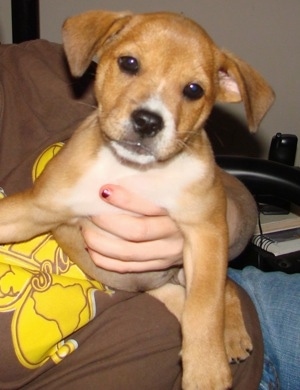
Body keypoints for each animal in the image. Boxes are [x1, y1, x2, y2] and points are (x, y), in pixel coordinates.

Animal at [0, 10, 274, 388]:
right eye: (129, 63)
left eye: (194, 90)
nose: (148, 121)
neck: (135, 173)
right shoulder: (37, 208)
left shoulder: (205, 233)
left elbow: (206, 305)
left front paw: (205, 369)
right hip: (160, 283)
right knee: (187, 299)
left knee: (224, 290)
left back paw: (231, 335)